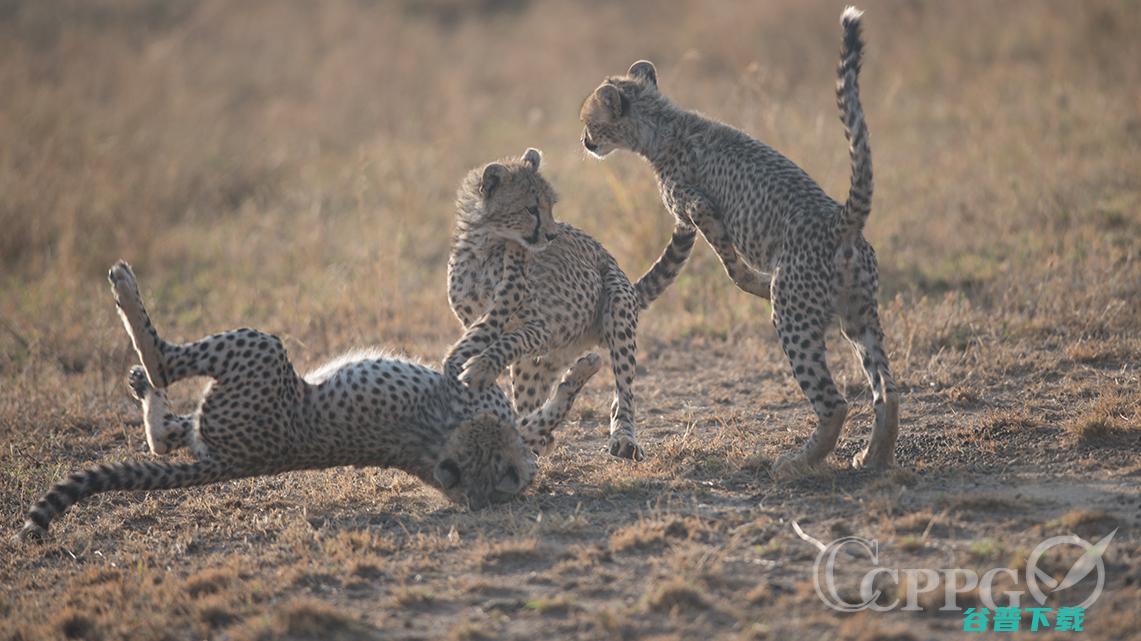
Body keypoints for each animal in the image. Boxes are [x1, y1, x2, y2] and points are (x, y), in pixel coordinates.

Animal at [15, 260, 607, 538]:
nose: (527, 471)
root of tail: (238, 464)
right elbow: (541, 411)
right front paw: (583, 367)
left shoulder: (472, 384)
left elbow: (498, 332)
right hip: (237, 386)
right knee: (167, 434)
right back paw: (140, 377)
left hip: (258, 351)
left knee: (165, 375)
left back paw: (126, 294)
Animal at [444, 148, 693, 458]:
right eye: (531, 209)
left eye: (551, 206)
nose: (552, 235)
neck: (483, 246)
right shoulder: (481, 322)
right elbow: (485, 340)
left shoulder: (543, 328)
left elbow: (507, 341)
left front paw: (481, 368)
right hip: (540, 361)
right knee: (533, 412)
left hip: (618, 304)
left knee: (623, 390)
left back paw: (623, 436)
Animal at [579, 4, 899, 474]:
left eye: (590, 122)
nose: (584, 141)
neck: (662, 123)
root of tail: (840, 220)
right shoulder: (694, 217)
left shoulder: (699, 209)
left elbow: (731, 268)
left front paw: (758, 284)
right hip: (860, 315)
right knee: (887, 389)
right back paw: (875, 456)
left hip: (795, 316)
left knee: (835, 402)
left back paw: (796, 463)